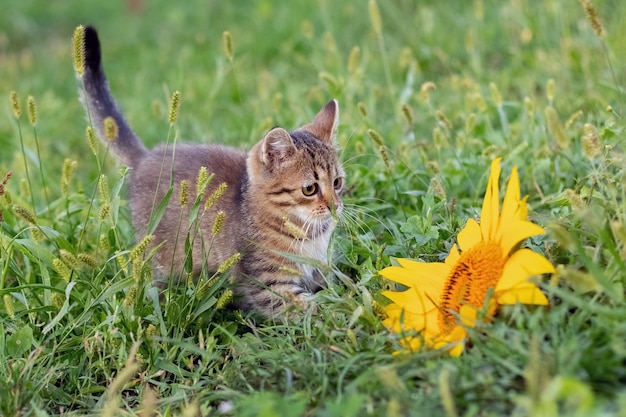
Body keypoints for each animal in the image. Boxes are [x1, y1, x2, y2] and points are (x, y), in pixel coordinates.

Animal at [78, 26, 344, 316]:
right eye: (310, 189)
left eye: (337, 182)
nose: (335, 206)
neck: (309, 232)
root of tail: (147, 156)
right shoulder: (270, 286)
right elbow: (317, 310)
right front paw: (349, 315)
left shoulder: (322, 272)